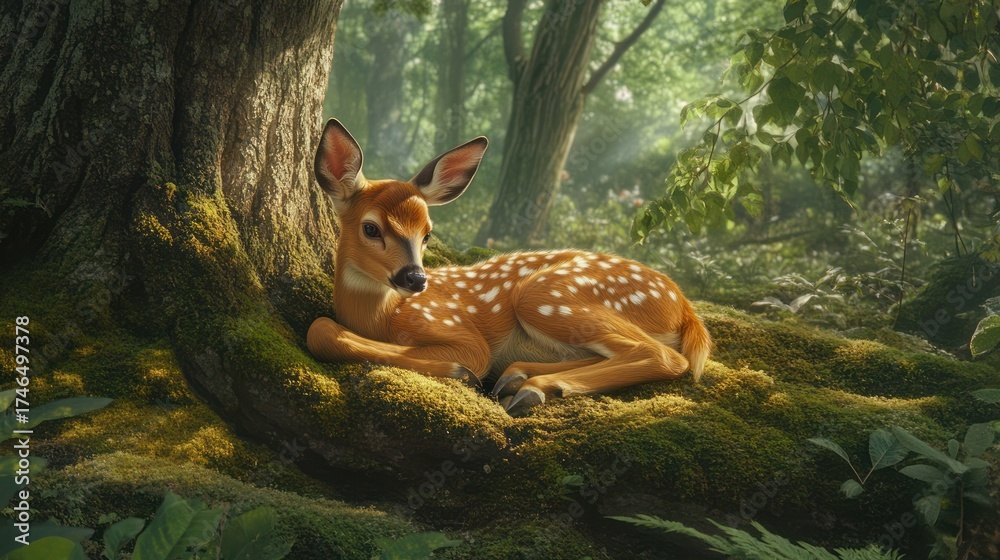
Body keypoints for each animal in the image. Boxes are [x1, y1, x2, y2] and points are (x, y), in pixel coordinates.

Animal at [306, 119, 712, 416]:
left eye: (427, 233)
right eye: (370, 228)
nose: (416, 278)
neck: (382, 316)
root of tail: (684, 306)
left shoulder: (457, 330)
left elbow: (323, 329)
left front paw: (460, 373)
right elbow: (322, 328)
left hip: (547, 295)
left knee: (664, 355)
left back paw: (534, 389)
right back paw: (517, 378)